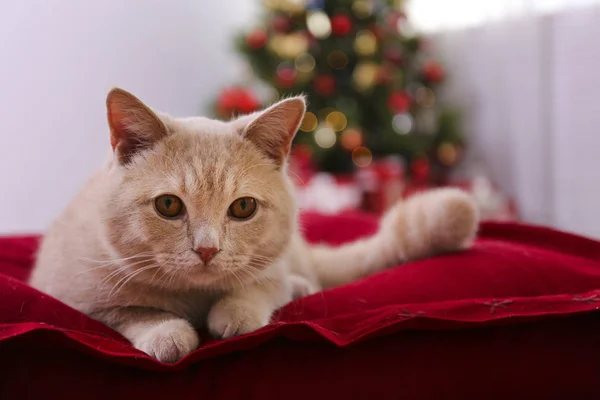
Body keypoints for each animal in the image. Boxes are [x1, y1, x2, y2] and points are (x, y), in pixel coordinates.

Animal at [28, 87, 480, 362]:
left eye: (243, 207)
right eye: (169, 205)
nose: (207, 249)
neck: (196, 297)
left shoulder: (270, 265)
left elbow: (259, 286)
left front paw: (236, 312)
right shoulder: (72, 295)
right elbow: (130, 311)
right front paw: (166, 332)